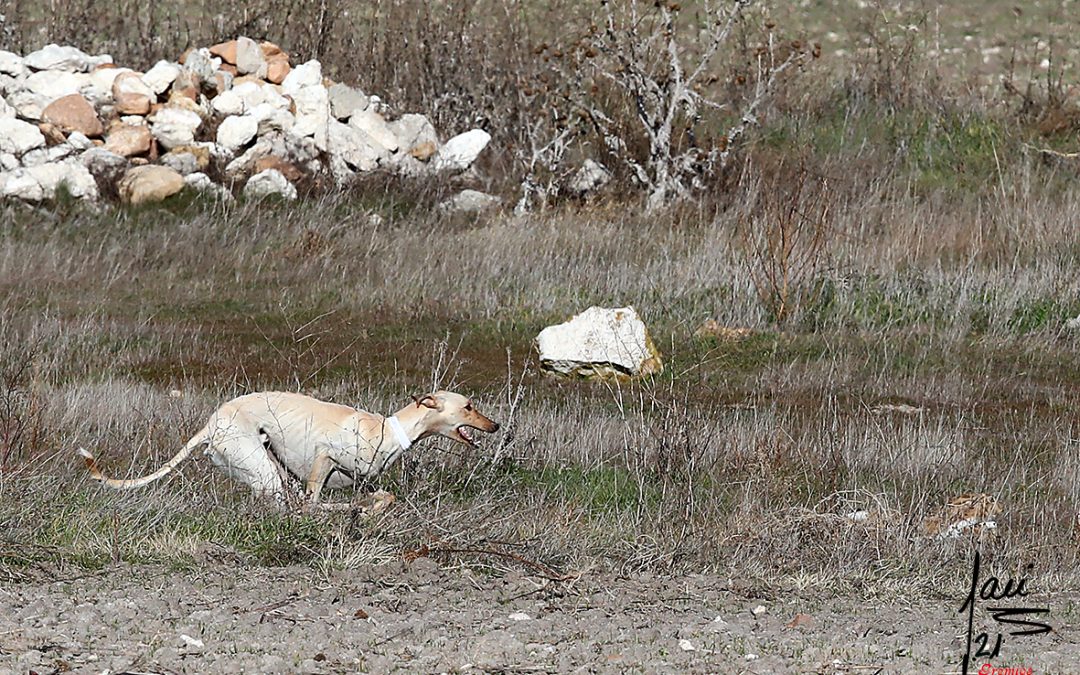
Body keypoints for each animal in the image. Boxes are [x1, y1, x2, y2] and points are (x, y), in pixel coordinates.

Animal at [78, 388, 498, 505]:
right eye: (469, 406)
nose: (494, 426)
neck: (388, 430)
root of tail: (212, 423)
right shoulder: (323, 458)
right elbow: (316, 499)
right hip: (264, 469)